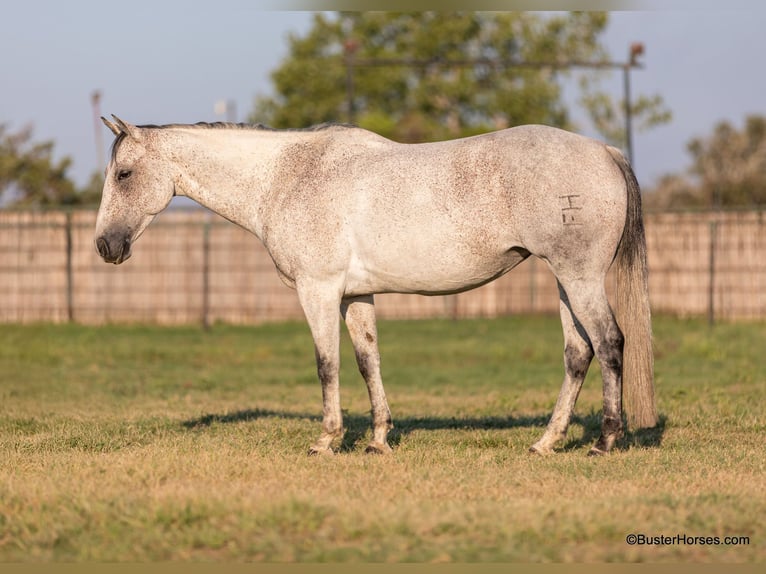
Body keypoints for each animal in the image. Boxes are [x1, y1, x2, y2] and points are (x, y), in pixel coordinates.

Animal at [95, 115, 657, 456]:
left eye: (123, 174)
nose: (104, 246)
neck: (286, 177)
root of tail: (604, 150)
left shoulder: (318, 291)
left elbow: (327, 365)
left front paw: (327, 441)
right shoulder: (355, 295)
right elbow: (368, 362)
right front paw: (379, 439)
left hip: (579, 278)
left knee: (610, 344)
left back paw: (605, 441)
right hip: (565, 282)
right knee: (578, 353)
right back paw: (545, 442)